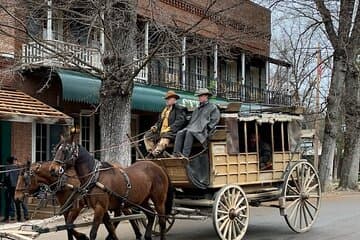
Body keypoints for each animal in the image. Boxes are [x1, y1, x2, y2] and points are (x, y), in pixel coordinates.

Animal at [14, 161, 143, 240]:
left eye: (25, 179)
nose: (16, 197)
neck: (64, 181)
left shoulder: (77, 207)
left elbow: (70, 225)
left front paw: (82, 236)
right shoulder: (65, 209)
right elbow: (68, 226)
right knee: (124, 214)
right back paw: (135, 233)